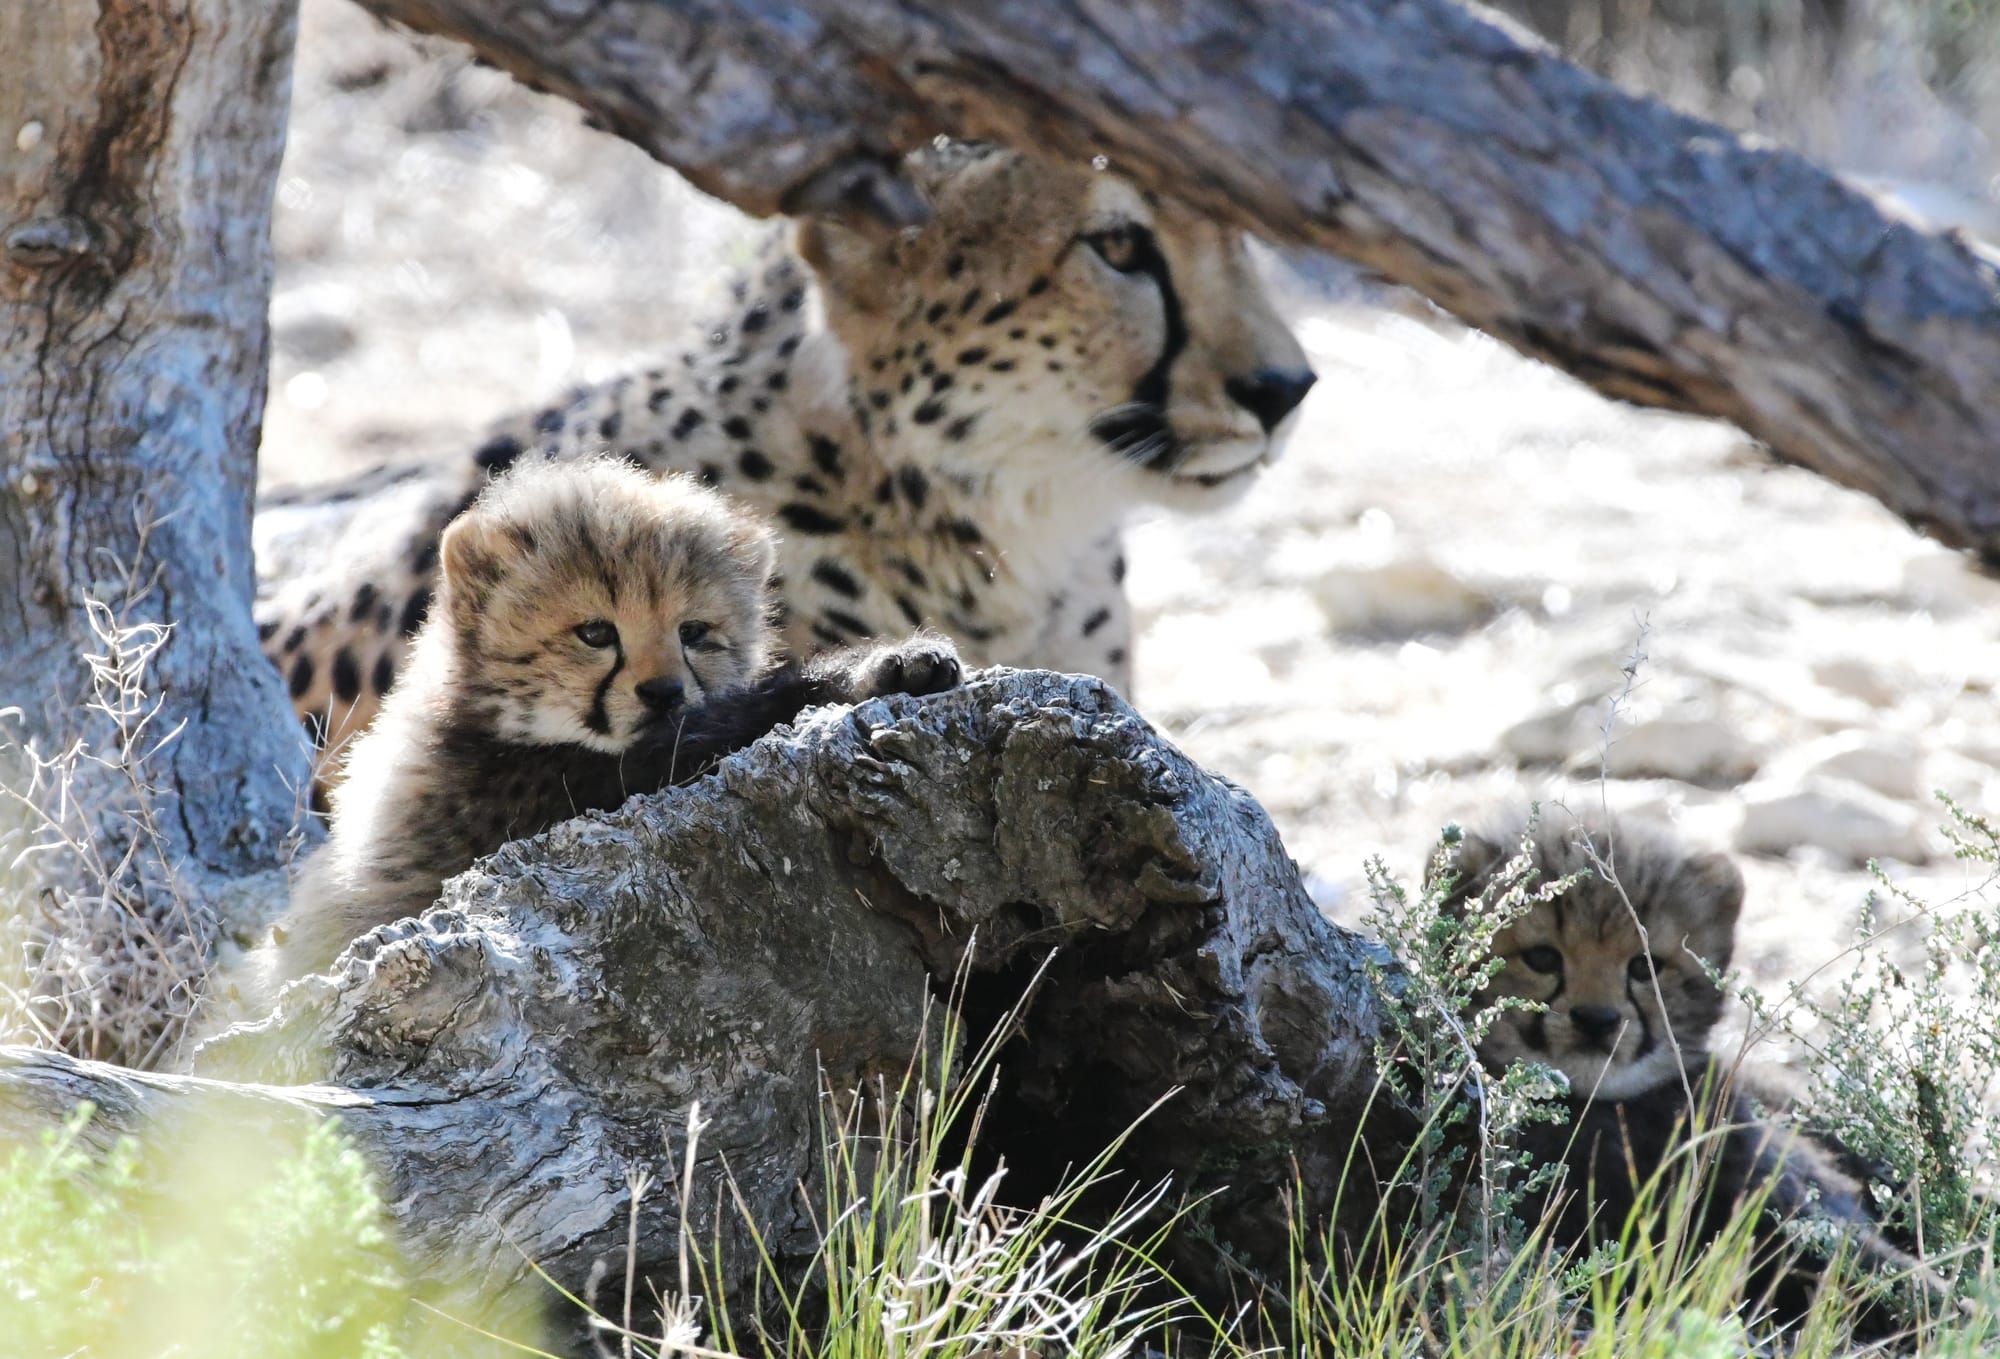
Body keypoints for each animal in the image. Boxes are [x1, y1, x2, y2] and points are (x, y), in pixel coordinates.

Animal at [260, 454, 961, 988]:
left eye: (694, 632)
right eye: (595, 632)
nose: (663, 693)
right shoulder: (532, 806)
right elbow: (726, 722)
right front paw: (880, 666)